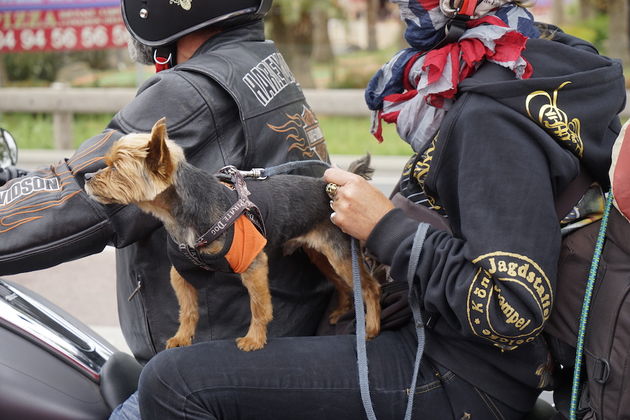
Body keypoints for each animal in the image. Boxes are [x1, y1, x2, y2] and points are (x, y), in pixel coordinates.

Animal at [83, 118, 380, 352]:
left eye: (116, 168)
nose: (86, 177)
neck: (183, 213)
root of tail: (328, 188)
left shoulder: (253, 264)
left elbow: (260, 307)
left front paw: (254, 340)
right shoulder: (181, 271)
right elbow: (188, 310)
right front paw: (182, 338)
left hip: (339, 253)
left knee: (369, 287)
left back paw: (372, 329)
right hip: (320, 255)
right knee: (342, 284)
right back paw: (342, 312)